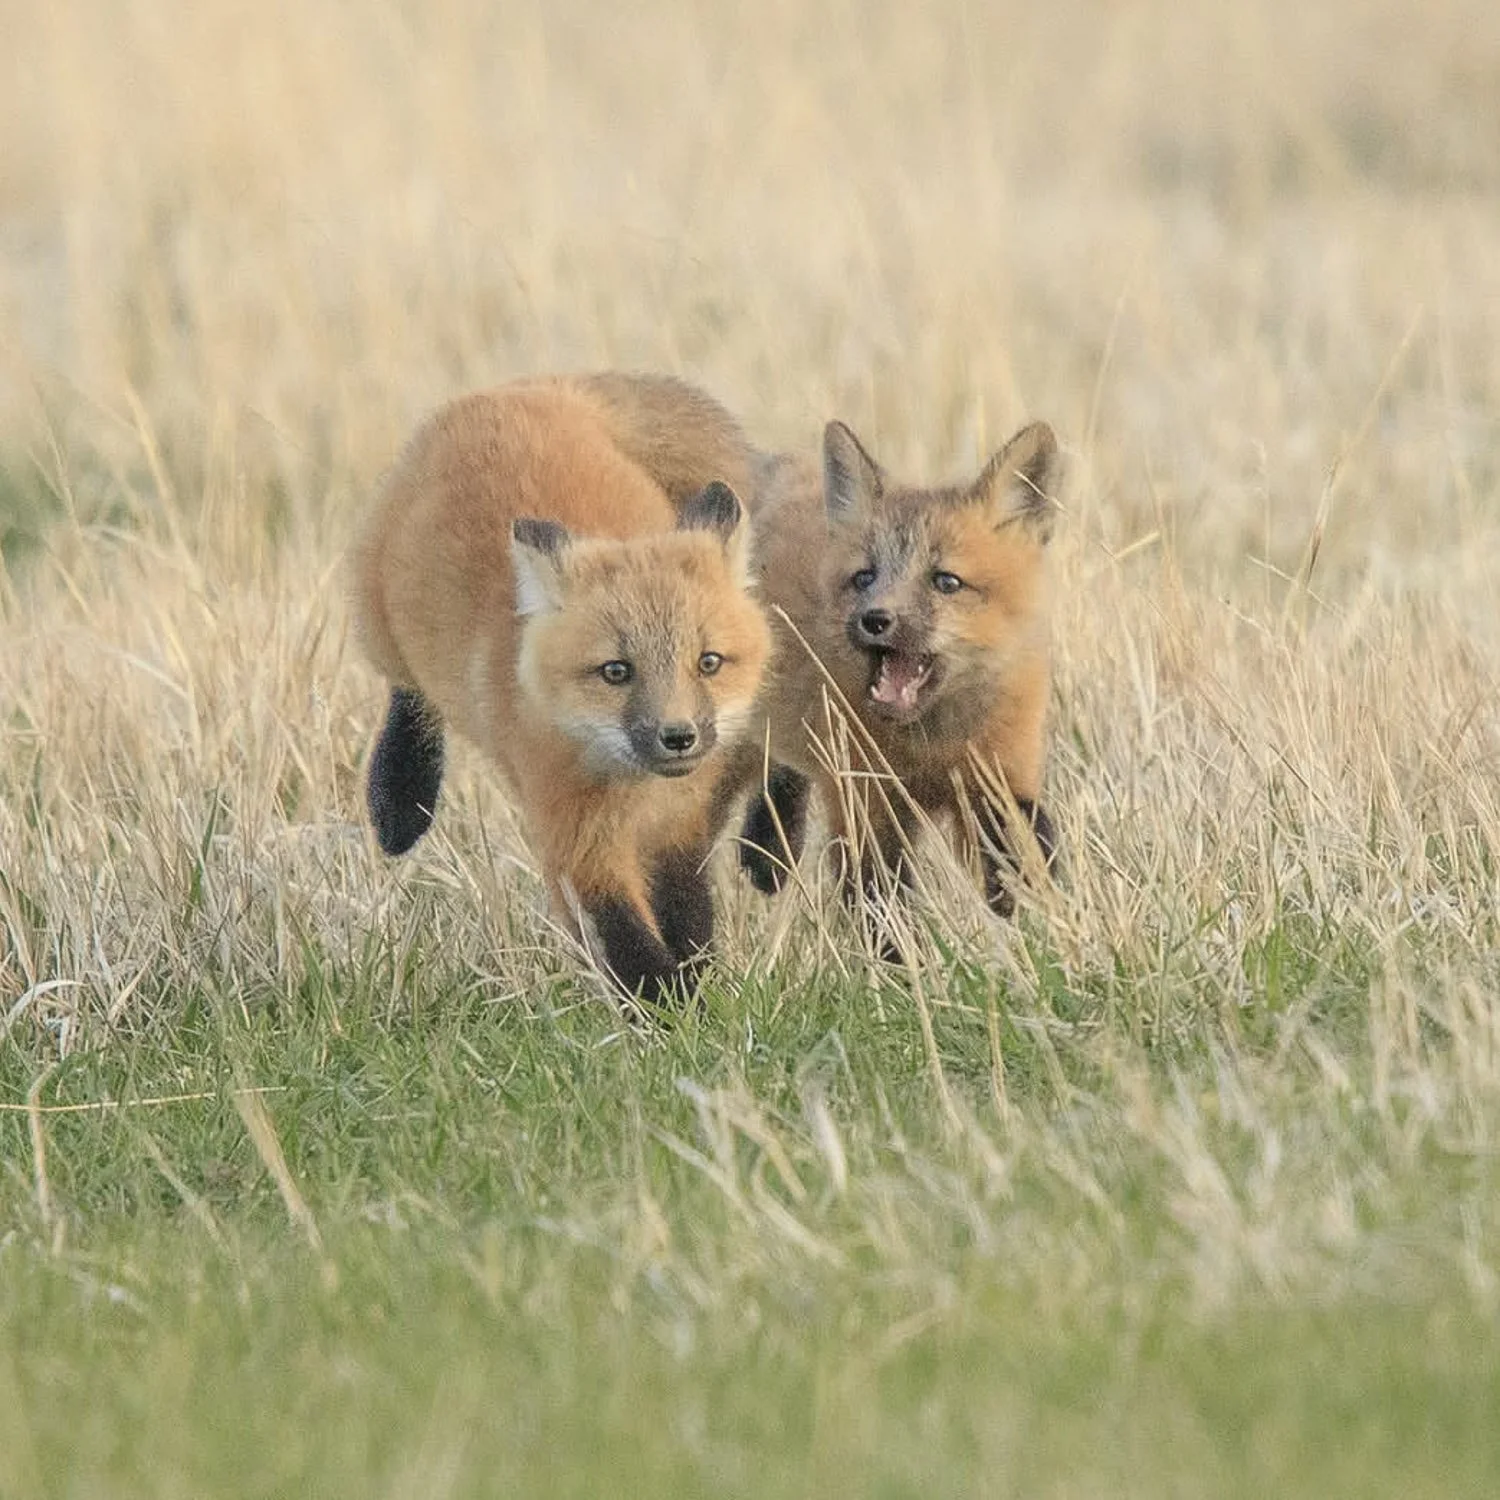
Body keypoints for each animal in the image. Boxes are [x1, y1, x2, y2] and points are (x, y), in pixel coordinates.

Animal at [347, 376, 773, 1005]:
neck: (636, 795)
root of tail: (526, 388)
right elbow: (626, 945)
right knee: (408, 695)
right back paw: (400, 802)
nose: (678, 737)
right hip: (382, 630)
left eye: (709, 662)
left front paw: (698, 989)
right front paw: (671, 1008)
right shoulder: (575, 847)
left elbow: (689, 918)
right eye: (616, 671)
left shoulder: (679, 830)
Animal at [728, 418, 1061, 924]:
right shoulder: (867, 807)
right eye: (865, 577)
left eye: (946, 581)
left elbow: (1028, 857)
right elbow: (880, 909)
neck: (931, 749)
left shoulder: (1003, 777)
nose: (875, 619)